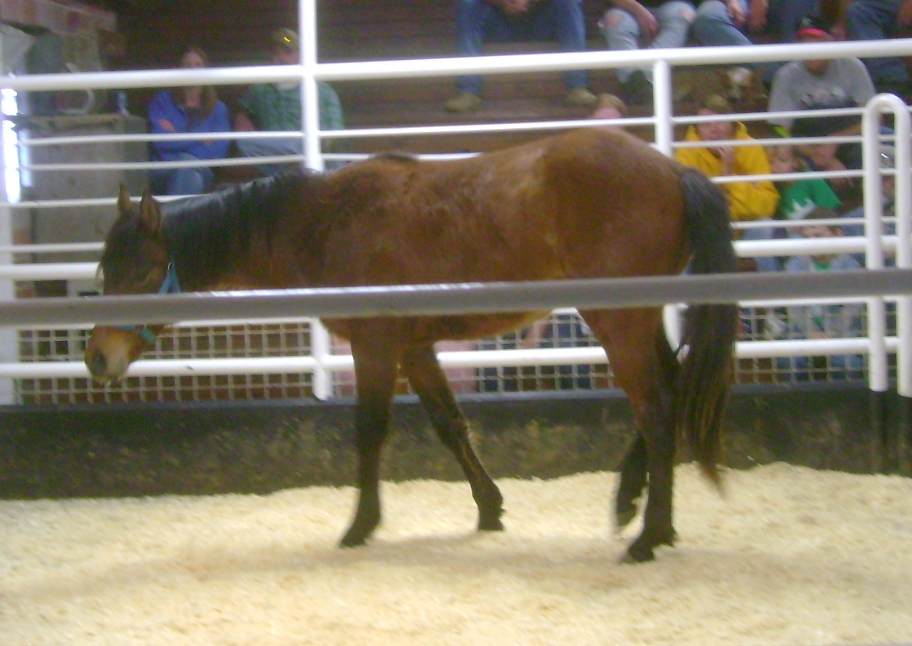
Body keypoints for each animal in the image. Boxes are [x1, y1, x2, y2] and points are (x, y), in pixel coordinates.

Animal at [85, 129, 736, 564]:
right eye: (104, 268)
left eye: (141, 273)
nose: (97, 357)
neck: (327, 220)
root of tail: (671, 170)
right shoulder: (416, 348)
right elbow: (449, 424)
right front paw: (489, 508)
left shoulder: (375, 346)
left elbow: (370, 429)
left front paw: (360, 526)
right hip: (638, 322)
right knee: (671, 392)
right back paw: (634, 504)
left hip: (618, 322)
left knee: (657, 410)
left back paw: (649, 535)